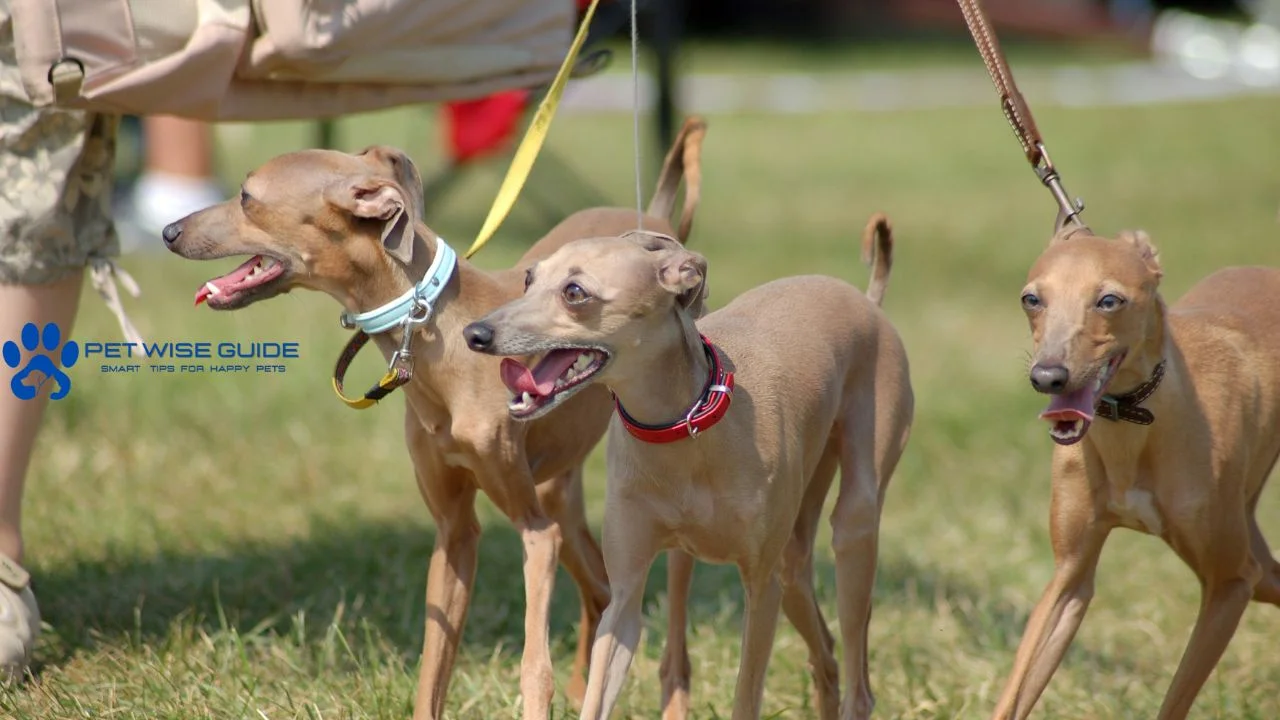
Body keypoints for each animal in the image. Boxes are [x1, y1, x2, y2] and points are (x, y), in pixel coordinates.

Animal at [160, 119, 711, 717]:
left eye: (246, 196)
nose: (168, 231)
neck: (439, 332)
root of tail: (654, 219)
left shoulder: (534, 531)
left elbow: (533, 667)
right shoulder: (454, 532)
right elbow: (433, 666)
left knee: (665, 636)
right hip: (561, 492)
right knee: (601, 588)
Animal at [460, 213, 911, 717]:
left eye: (575, 292)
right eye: (529, 278)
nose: (475, 334)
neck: (685, 427)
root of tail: (866, 300)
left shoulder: (760, 587)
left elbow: (745, 695)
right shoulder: (625, 594)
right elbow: (601, 682)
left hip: (853, 527)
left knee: (857, 675)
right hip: (786, 562)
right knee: (825, 652)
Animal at [993, 228, 1280, 717]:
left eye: (1109, 300)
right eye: (1032, 299)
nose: (1048, 377)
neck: (1136, 425)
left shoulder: (1230, 582)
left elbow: (1175, 700)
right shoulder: (1070, 576)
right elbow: (1014, 693)